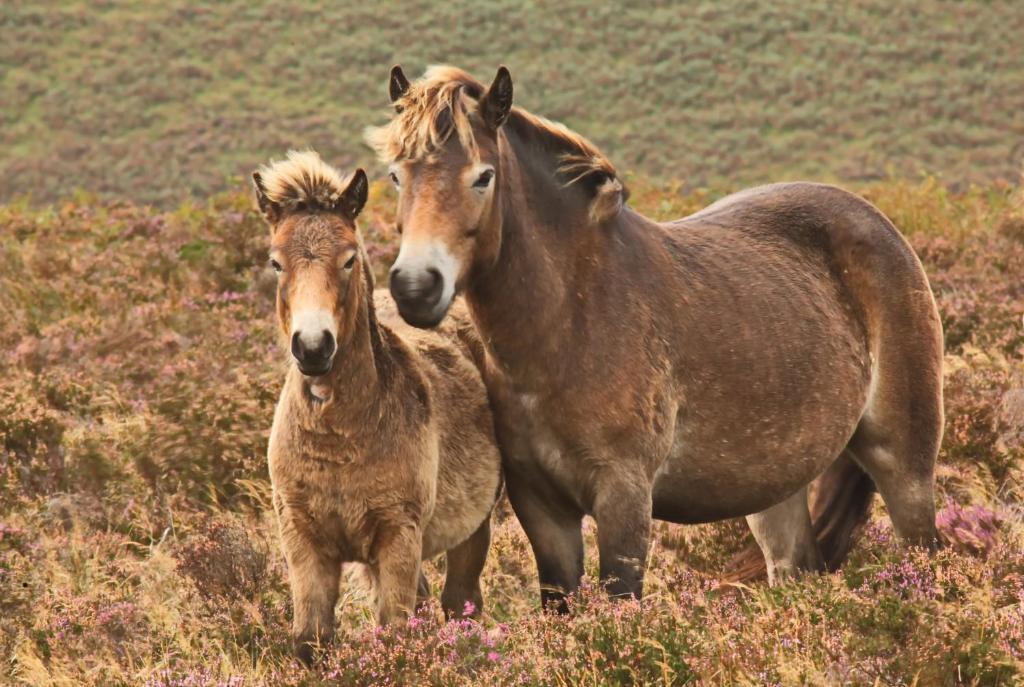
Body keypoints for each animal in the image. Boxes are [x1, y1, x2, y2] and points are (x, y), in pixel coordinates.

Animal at [251, 151, 499, 667]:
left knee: (459, 604)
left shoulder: (398, 537)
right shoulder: (305, 542)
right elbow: (311, 640)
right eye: (275, 262)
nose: (313, 347)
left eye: (349, 259)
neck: (340, 440)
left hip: (471, 530)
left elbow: (396, 635)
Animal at [368, 67, 942, 610]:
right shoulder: (543, 509)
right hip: (777, 488)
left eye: (483, 177)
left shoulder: (624, 498)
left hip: (903, 466)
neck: (572, 320)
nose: (417, 286)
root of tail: (879, 225)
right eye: (396, 176)